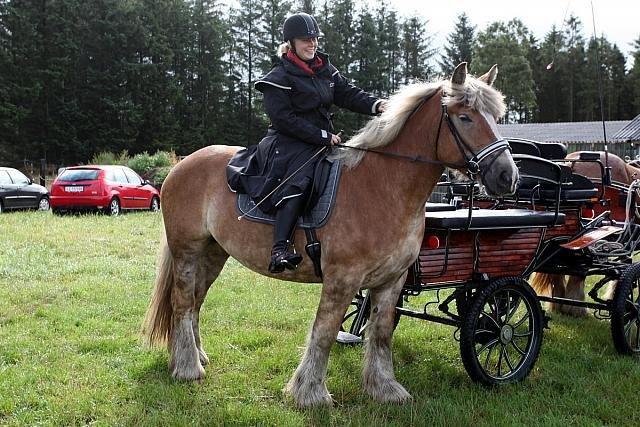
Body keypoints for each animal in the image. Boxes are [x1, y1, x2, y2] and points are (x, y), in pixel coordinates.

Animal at [142, 63, 516, 408]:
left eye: (497, 117)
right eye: (465, 117)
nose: (507, 176)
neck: (382, 186)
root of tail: (179, 167)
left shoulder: (391, 281)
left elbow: (380, 333)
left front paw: (384, 388)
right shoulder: (342, 278)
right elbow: (324, 331)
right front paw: (310, 393)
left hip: (213, 253)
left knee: (195, 303)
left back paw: (194, 356)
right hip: (187, 251)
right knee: (182, 303)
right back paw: (188, 368)